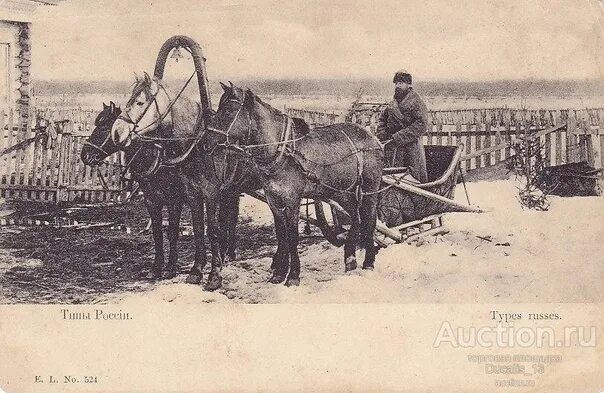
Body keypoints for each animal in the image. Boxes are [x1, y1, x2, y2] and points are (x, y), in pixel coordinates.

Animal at [108, 73, 258, 290]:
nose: (117, 132)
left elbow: (209, 230)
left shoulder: (204, 194)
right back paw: (226, 253)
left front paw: (214, 275)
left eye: (140, 102)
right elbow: (191, 230)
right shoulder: (186, 194)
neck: (196, 145)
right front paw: (193, 270)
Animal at [208, 83, 384, 284]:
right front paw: (279, 273)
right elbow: (281, 235)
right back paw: (350, 259)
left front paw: (293, 276)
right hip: (341, 191)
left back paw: (368, 262)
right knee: (356, 217)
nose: (206, 140)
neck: (283, 150)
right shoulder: (274, 200)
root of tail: (372, 138)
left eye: (228, 111)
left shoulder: (292, 200)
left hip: (370, 189)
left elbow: (292, 236)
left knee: (369, 221)